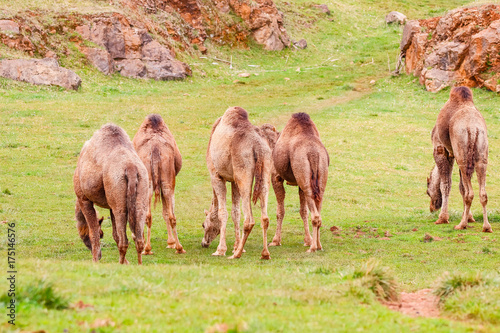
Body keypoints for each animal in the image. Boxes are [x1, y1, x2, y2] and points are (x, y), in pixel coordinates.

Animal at [73, 123, 148, 264]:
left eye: (102, 234)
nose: (100, 256)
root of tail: (131, 168)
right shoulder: (111, 206)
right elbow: (115, 235)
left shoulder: (83, 198)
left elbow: (94, 232)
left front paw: (95, 261)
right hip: (140, 197)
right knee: (139, 239)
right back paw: (138, 264)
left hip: (120, 206)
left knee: (125, 241)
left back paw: (120, 264)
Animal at [133, 113, 186, 253]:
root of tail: (155, 149)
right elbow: (166, 212)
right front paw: (171, 242)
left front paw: (170, 242)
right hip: (166, 181)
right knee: (170, 215)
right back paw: (177, 247)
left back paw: (148, 248)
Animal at [200, 106, 274, 260]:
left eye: (203, 225)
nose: (204, 243)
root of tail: (257, 146)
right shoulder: (233, 181)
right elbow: (235, 212)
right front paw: (236, 246)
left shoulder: (216, 176)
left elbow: (223, 212)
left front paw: (221, 250)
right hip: (265, 169)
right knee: (265, 217)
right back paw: (264, 254)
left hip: (243, 172)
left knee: (249, 219)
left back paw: (237, 255)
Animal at [268, 112, 330, 252]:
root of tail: (313, 153)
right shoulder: (300, 183)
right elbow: (303, 211)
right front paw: (307, 240)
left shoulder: (275, 176)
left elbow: (280, 211)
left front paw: (275, 241)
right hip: (320, 174)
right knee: (319, 211)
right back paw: (318, 245)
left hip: (303, 172)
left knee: (315, 215)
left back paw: (312, 248)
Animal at [426, 85, 492, 231]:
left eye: (427, 191)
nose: (432, 208)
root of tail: (473, 128)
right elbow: (461, 187)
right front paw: (469, 217)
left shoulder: (441, 150)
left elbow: (446, 184)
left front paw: (443, 218)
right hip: (480, 155)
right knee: (482, 193)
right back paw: (486, 227)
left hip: (462, 156)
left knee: (469, 193)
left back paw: (461, 225)